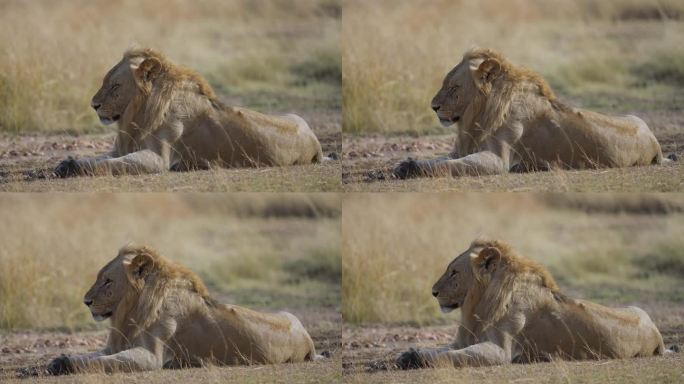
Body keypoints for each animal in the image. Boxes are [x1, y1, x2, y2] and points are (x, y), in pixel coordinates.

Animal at [46, 244, 320, 374]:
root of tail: (308, 338)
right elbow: (94, 356)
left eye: (108, 281)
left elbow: (103, 363)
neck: (130, 312)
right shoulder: (114, 345)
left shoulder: (152, 357)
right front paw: (59, 360)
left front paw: (65, 365)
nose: (86, 301)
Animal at [53, 47, 326, 177]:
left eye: (115, 86)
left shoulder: (159, 159)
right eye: (105, 82)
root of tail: (315, 140)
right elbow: (101, 159)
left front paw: (72, 167)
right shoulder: (121, 148)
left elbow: (109, 165)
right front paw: (66, 163)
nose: (94, 105)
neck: (137, 115)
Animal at [392, 48, 672, 179]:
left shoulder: (498, 160)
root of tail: (655, 140)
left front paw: (410, 168)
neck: (477, 117)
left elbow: (448, 166)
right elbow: (439, 160)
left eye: (454, 87)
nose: (434, 107)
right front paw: (405, 164)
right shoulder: (461, 149)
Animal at [398, 240, 664, 368]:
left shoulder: (500, 350)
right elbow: (442, 350)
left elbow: (452, 357)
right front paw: (410, 354)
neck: (478, 305)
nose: (433, 292)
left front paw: (416, 360)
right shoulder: (463, 340)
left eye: (454, 272)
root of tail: (657, 332)